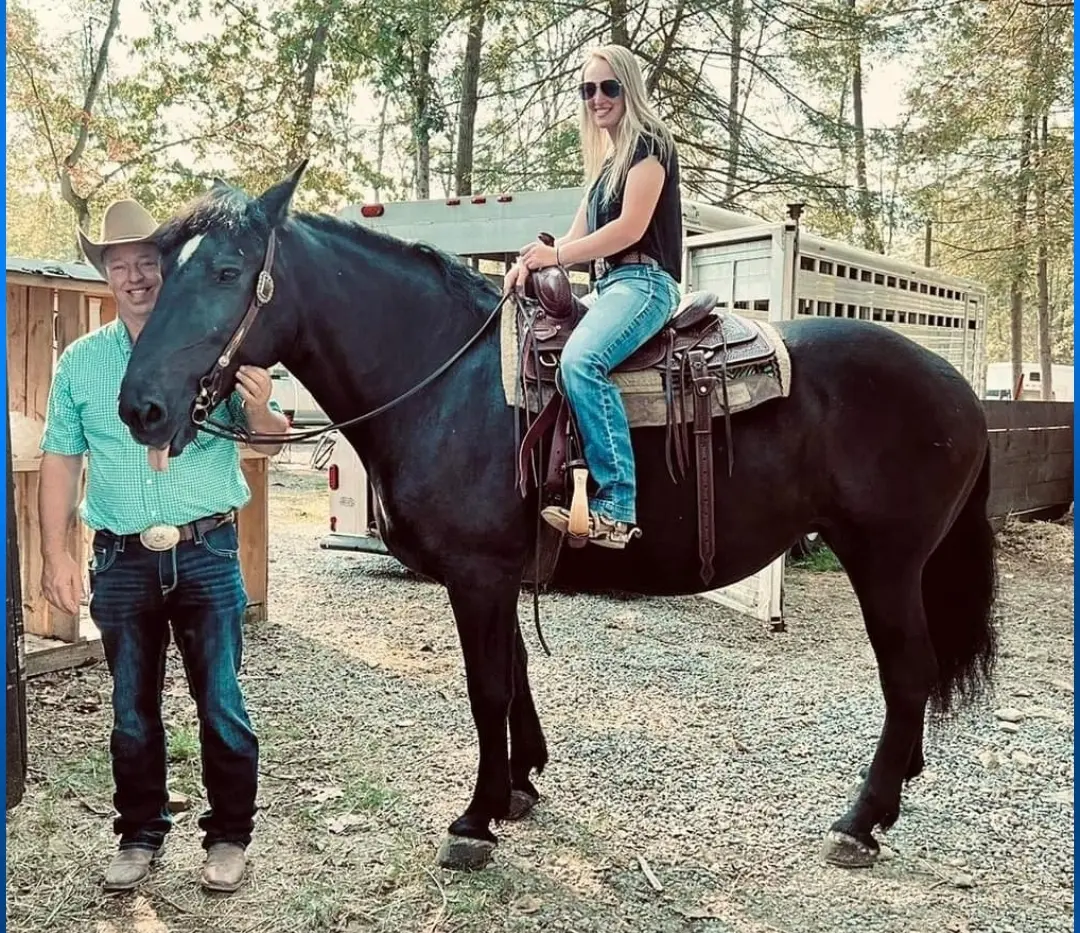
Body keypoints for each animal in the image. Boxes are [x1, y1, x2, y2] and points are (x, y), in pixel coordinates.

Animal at [116, 161, 993, 872]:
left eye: (228, 269)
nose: (141, 407)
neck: (443, 379)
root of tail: (958, 387)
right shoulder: (500, 571)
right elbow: (515, 675)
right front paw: (518, 786)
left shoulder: (476, 574)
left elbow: (487, 688)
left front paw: (475, 820)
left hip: (885, 561)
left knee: (906, 672)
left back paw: (862, 819)